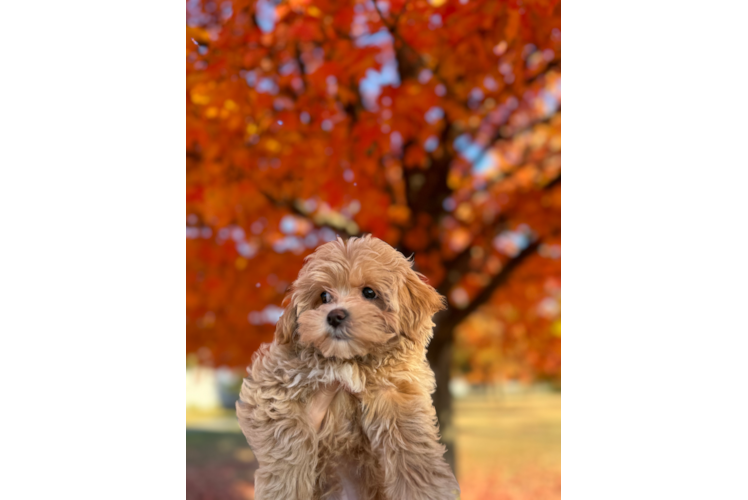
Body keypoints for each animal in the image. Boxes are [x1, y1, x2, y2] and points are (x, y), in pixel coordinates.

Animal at [238, 235, 462, 500]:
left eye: (369, 292)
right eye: (324, 297)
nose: (335, 315)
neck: (349, 359)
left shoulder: (398, 392)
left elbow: (412, 449)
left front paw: (426, 492)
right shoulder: (273, 388)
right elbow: (290, 442)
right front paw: (286, 491)